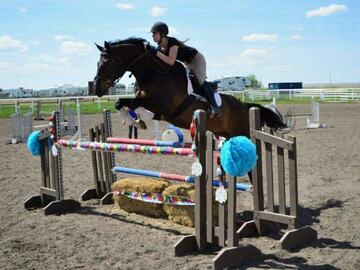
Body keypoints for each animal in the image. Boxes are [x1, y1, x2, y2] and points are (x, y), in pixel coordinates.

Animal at [93, 37, 286, 139]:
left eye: (107, 62)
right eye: (98, 62)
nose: (97, 89)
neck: (154, 73)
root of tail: (245, 106)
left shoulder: (161, 106)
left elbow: (125, 102)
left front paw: (136, 120)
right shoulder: (152, 106)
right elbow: (123, 103)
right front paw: (136, 121)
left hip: (241, 132)